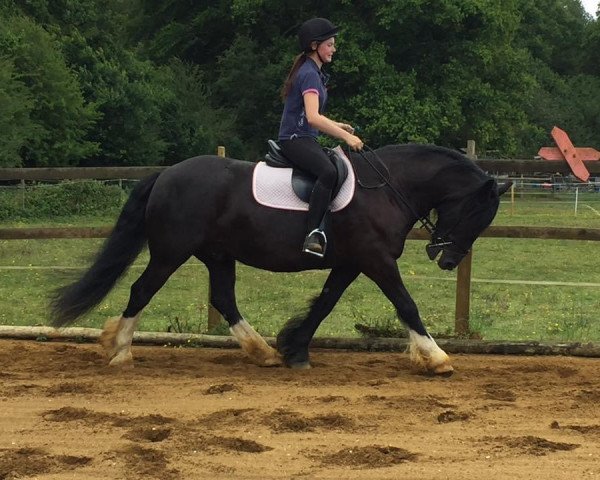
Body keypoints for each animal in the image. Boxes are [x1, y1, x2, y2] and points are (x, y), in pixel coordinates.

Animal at [52, 143, 510, 376]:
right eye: (476, 212)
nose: (447, 260)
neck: (387, 187)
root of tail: (166, 174)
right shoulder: (376, 259)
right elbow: (406, 304)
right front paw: (436, 357)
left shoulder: (351, 262)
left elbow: (325, 303)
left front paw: (295, 348)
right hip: (170, 253)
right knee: (141, 290)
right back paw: (120, 350)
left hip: (218, 255)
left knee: (223, 299)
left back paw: (263, 352)